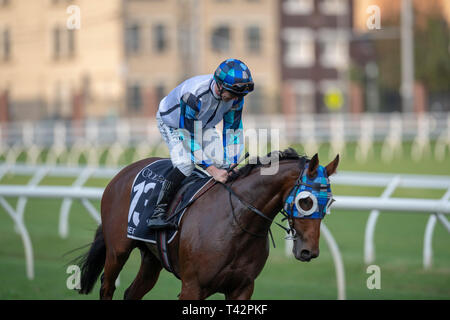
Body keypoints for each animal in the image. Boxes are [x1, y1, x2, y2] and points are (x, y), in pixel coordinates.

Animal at [76, 149, 338, 298]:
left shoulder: (242, 289)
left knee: (132, 292)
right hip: (117, 250)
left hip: (152, 259)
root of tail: (123, 172)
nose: (309, 251)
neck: (235, 225)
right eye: (306, 201)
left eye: (329, 202)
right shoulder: (192, 288)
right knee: (107, 286)